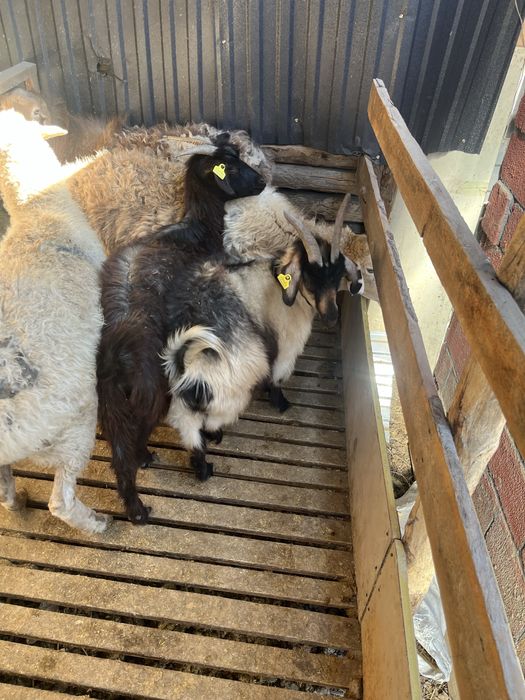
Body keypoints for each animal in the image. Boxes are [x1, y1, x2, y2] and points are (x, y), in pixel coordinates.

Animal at [97, 137, 266, 522]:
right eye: (232, 167)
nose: (263, 182)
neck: (198, 227)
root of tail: (116, 354)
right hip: (151, 395)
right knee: (132, 446)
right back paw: (140, 501)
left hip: (112, 404)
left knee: (119, 453)